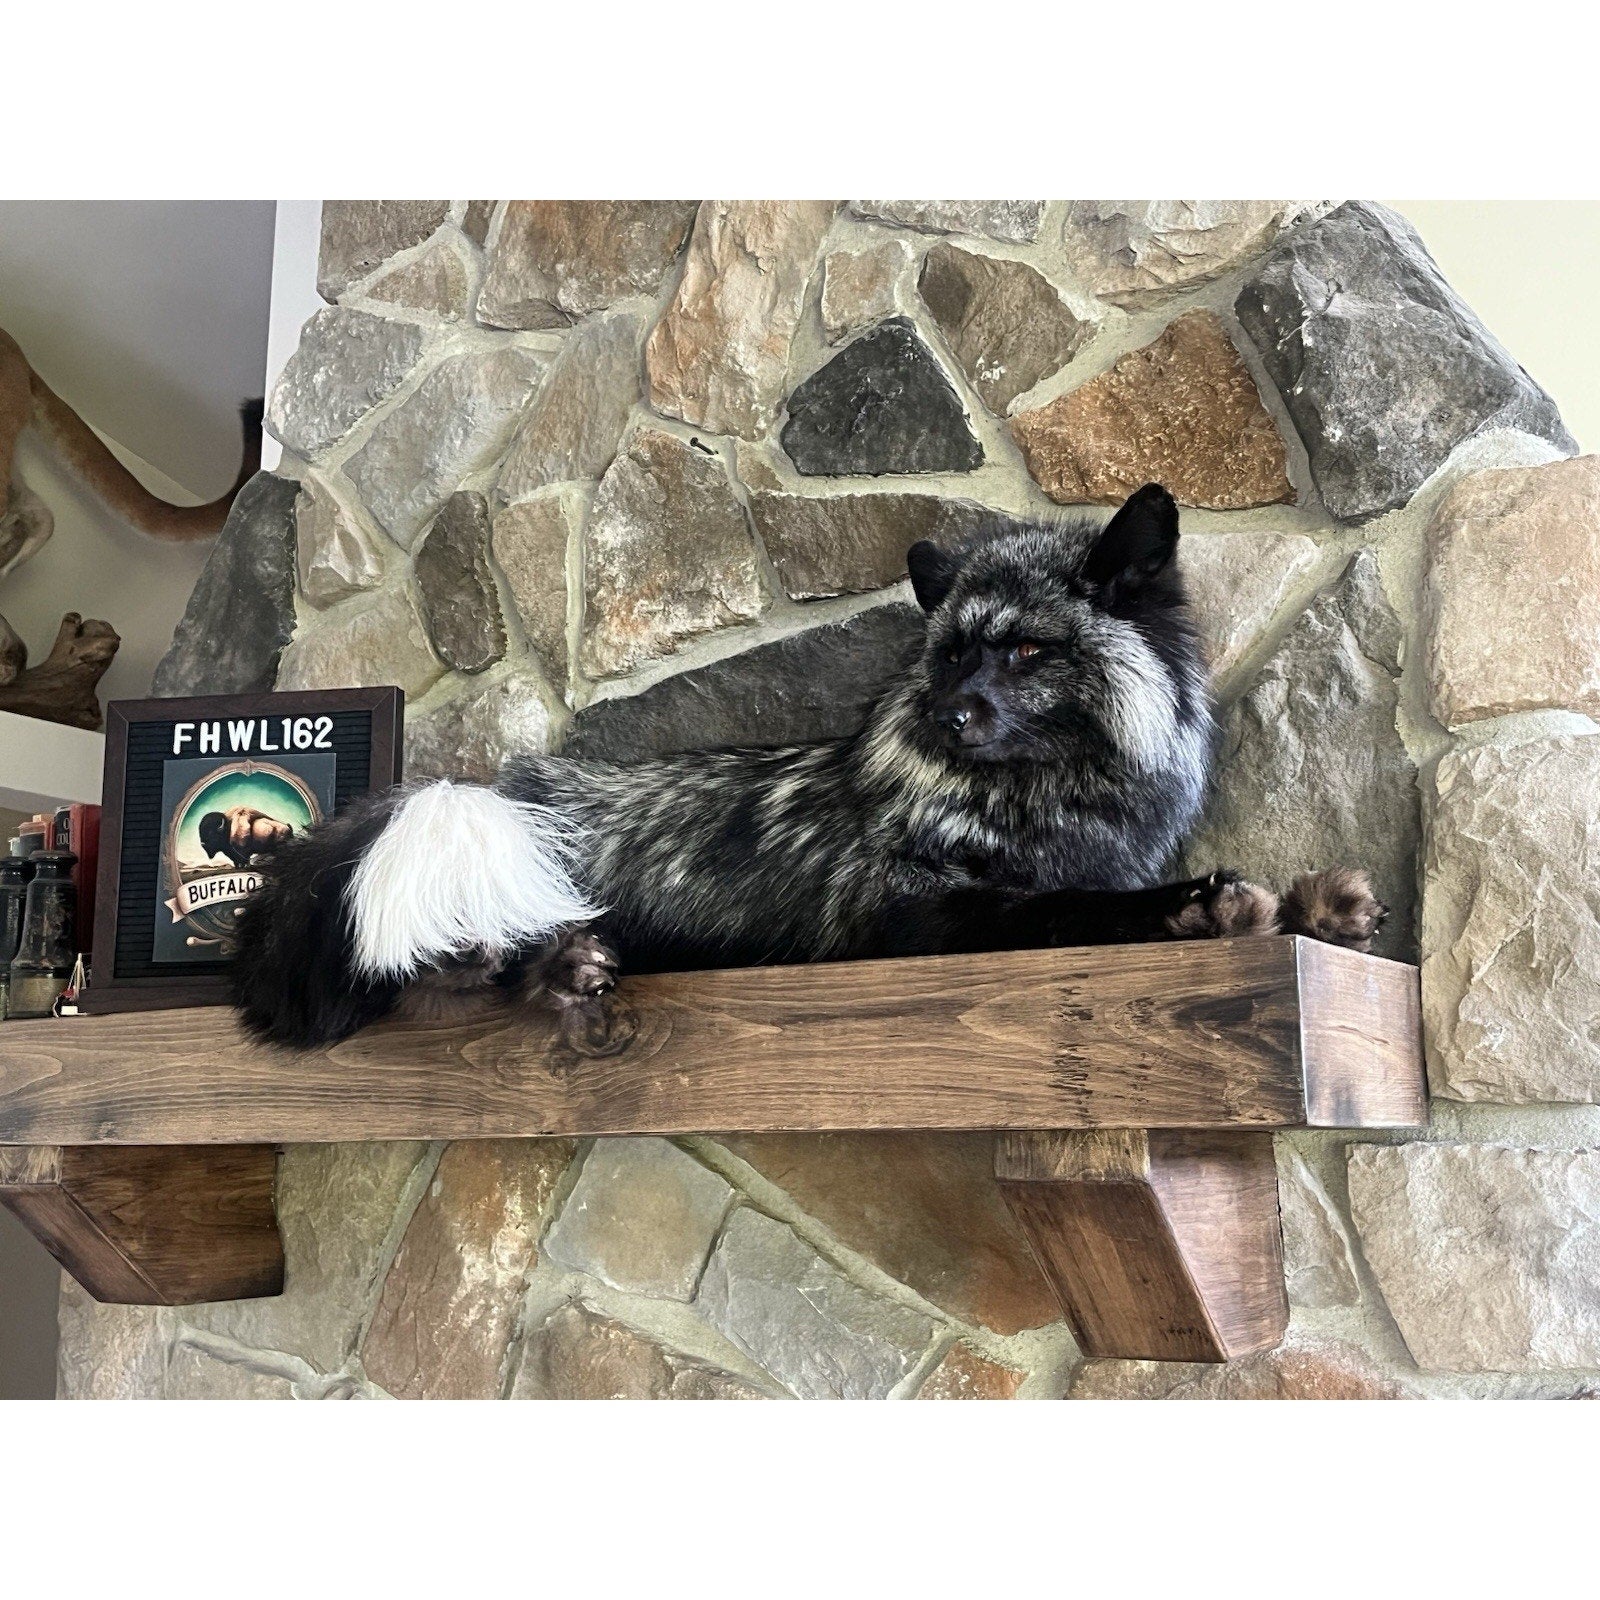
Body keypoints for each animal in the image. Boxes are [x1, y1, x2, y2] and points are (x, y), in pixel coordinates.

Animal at [232, 483, 1384, 1049]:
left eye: (1024, 651)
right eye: (952, 651)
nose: (948, 710)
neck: (1050, 802)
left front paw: (1311, 905)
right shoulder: (910, 917)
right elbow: (1068, 912)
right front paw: (1199, 907)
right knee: (433, 973)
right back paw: (552, 970)